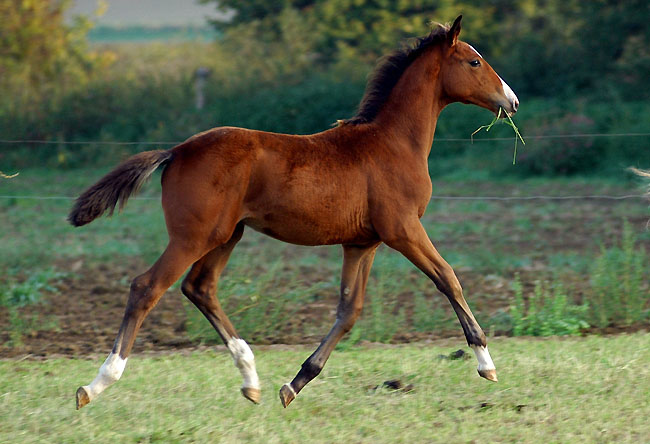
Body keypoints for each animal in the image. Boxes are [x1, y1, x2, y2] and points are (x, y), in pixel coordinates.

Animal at [71, 15, 516, 412]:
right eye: (474, 62)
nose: (510, 102)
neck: (392, 142)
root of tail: (177, 151)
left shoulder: (362, 243)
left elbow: (349, 310)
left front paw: (295, 383)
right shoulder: (402, 229)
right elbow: (448, 278)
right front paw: (486, 363)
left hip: (226, 235)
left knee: (200, 288)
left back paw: (251, 380)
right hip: (193, 236)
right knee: (147, 286)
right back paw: (97, 384)